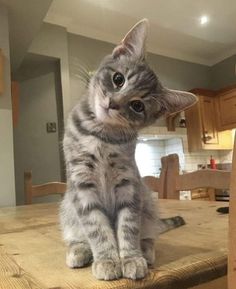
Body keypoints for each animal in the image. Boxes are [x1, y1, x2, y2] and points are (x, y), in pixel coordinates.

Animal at [60, 18, 197, 280]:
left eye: (137, 106)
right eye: (118, 79)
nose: (112, 103)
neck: (101, 135)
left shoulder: (129, 184)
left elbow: (128, 226)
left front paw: (131, 258)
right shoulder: (82, 184)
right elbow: (96, 227)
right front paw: (107, 259)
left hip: (148, 202)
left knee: (149, 233)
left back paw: (146, 251)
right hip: (67, 207)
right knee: (77, 235)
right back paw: (79, 250)